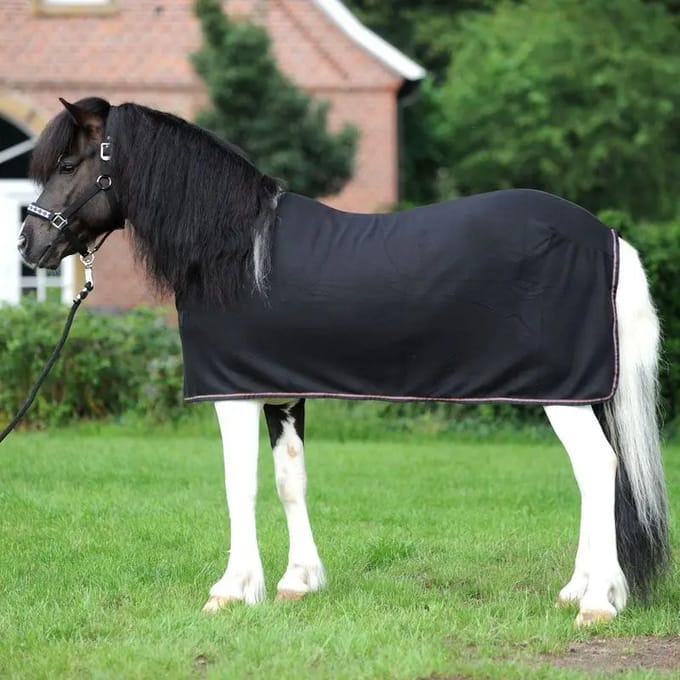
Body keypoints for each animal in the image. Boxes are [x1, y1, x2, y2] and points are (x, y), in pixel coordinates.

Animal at [18, 97, 669, 627]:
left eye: (69, 166)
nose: (28, 245)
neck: (234, 251)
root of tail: (608, 238)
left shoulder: (230, 393)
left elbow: (238, 484)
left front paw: (230, 591)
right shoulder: (281, 392)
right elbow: (289, 480)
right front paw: (297, 583)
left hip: (564, 394)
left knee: (597, 468)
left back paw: (596, 603)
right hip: (577, 391)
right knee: (592, 476)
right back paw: (579, 589)